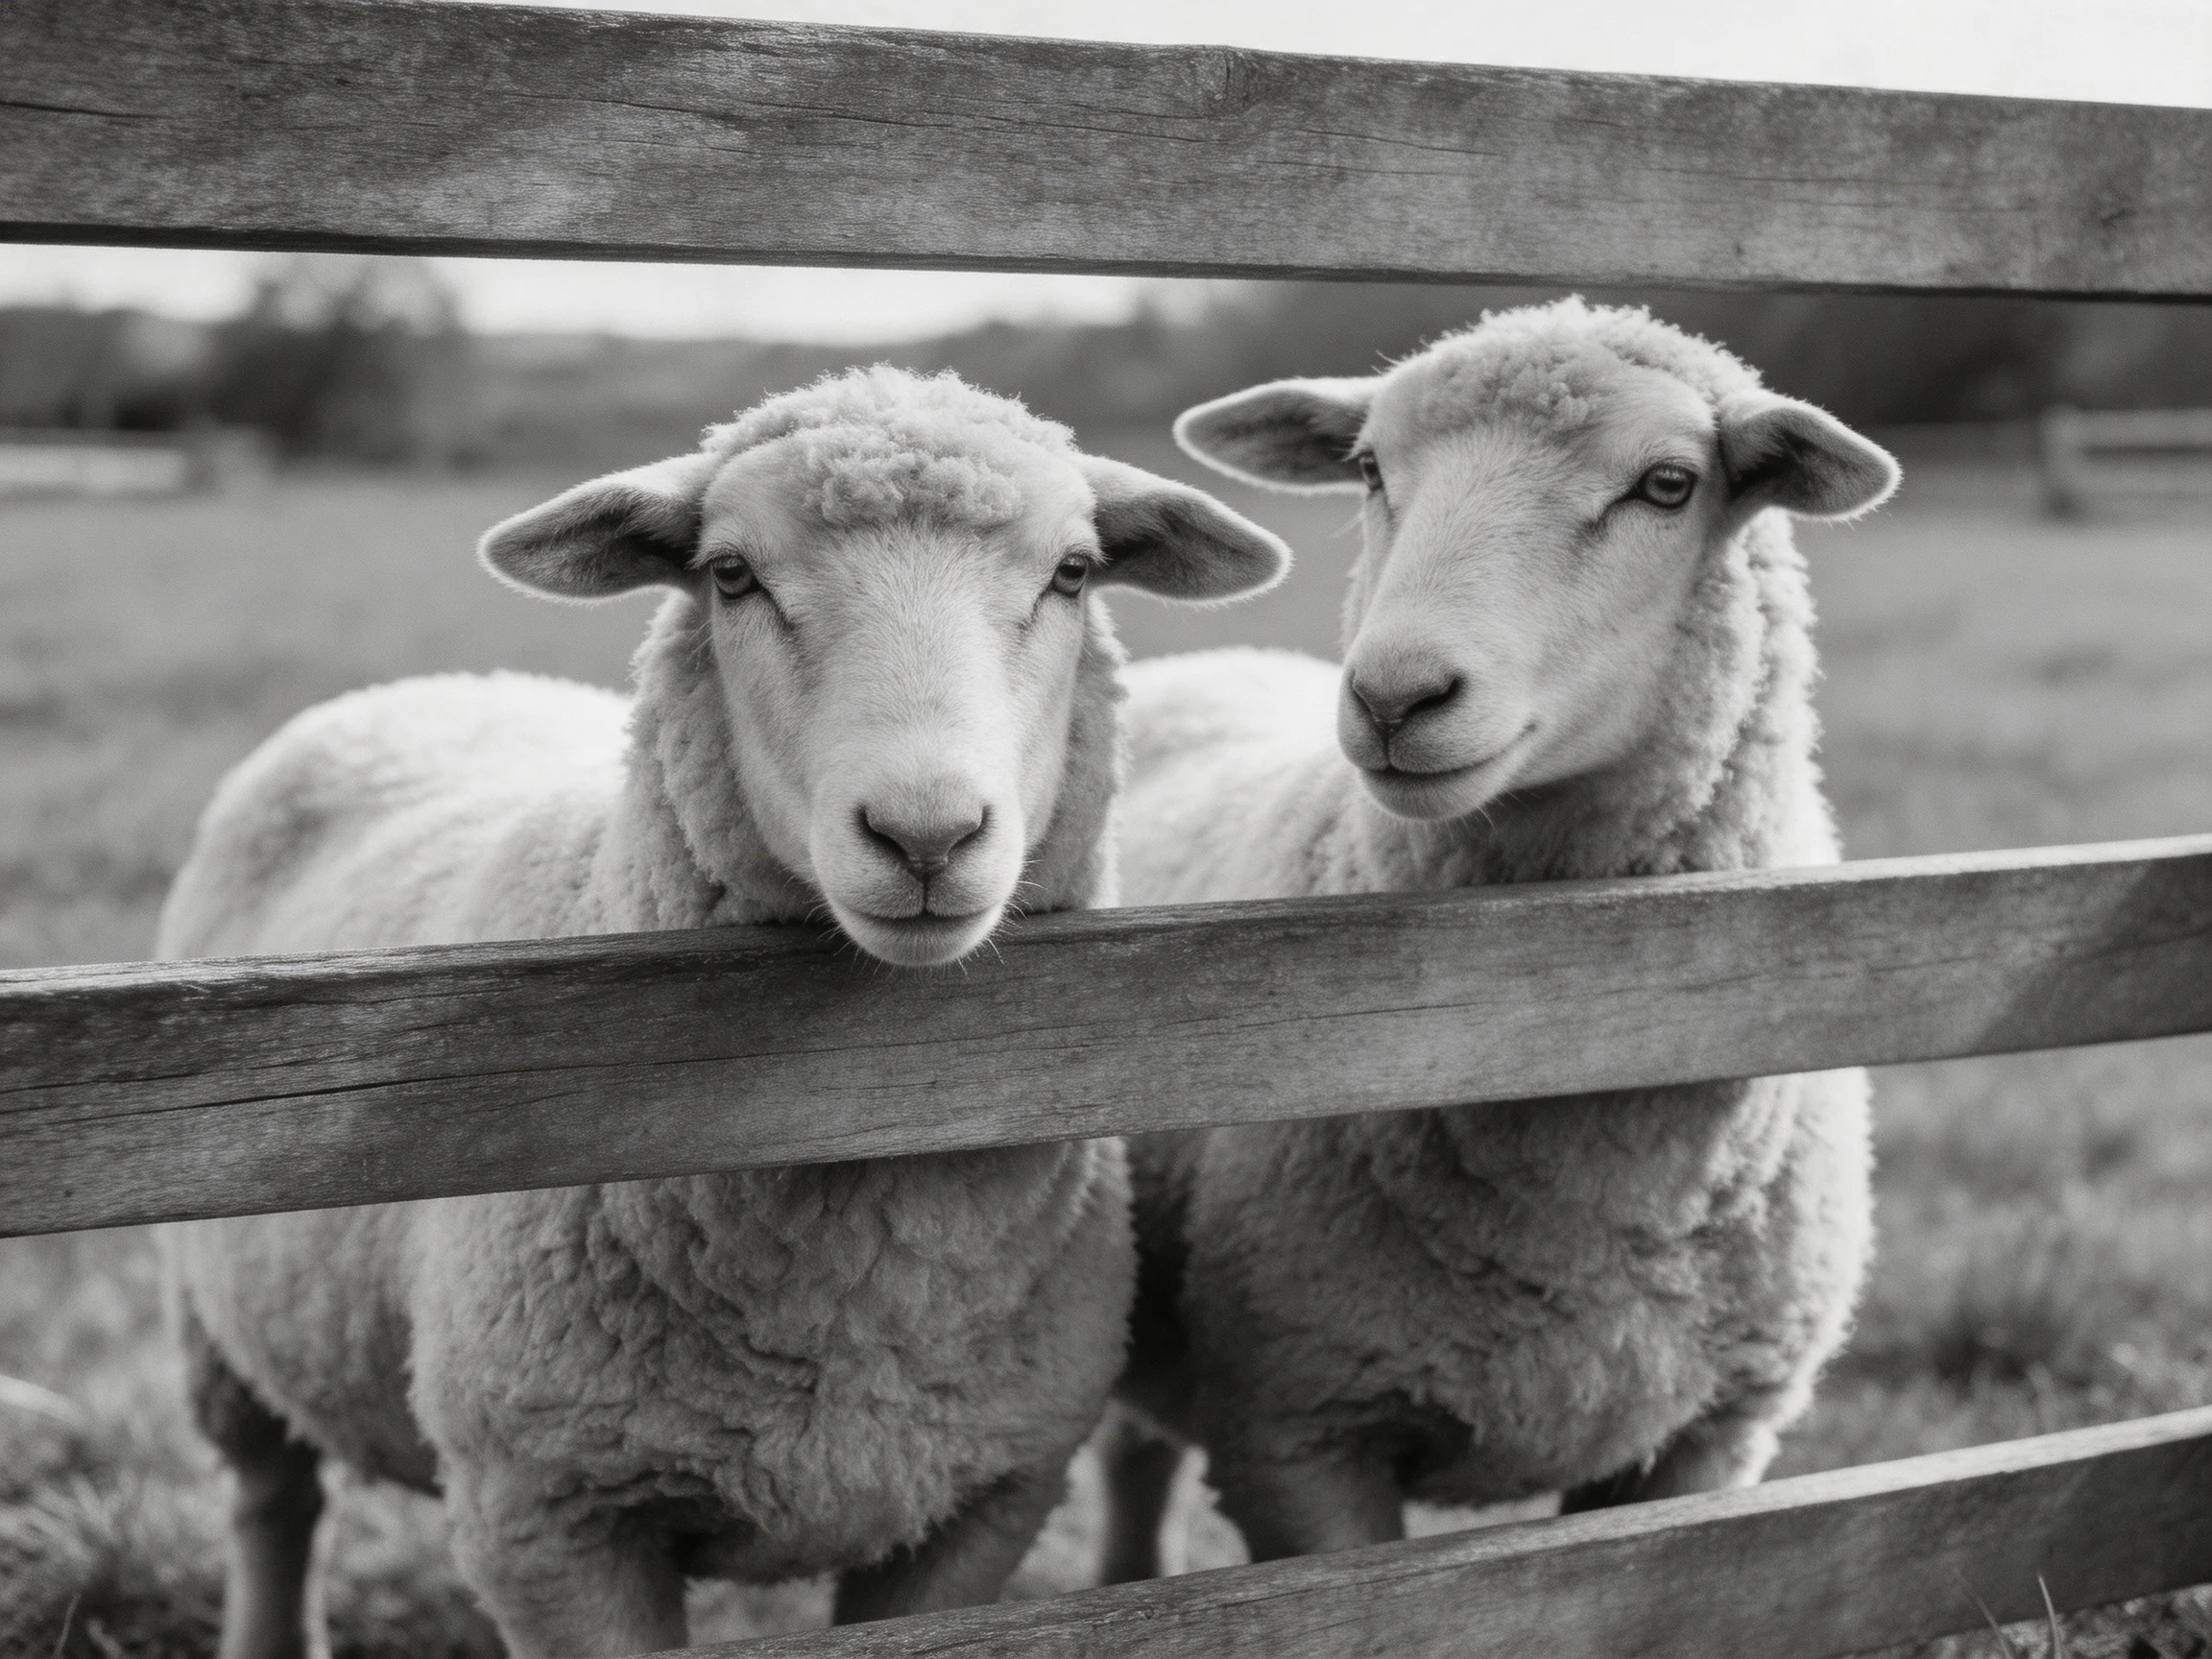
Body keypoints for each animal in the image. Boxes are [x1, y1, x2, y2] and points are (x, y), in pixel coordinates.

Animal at [158, 366, 1289, 1659]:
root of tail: (424, 690)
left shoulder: (977, 1504)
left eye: (1073, 573)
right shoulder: (548, 1516)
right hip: (212, 1322)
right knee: (271, 1503)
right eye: (734, 575)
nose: (927, 834)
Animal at [1098, 298, 1899, 1575]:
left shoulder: (1711, 1436)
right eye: (1369, 469)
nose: (1393, 696)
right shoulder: (1300, 1432)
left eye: (1668, 484)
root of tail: (1221, 658)